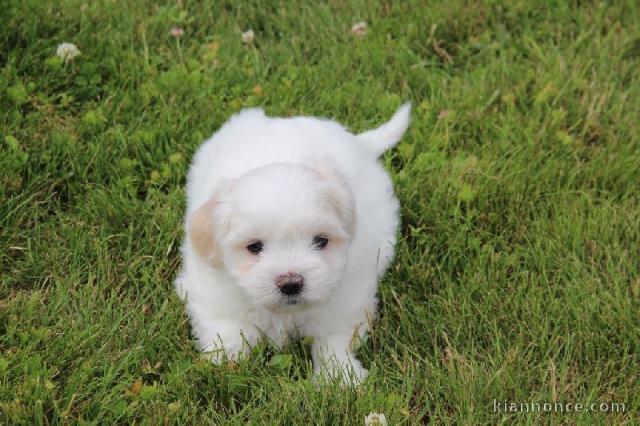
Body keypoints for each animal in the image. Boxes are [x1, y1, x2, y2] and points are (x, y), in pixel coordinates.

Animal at [176, 102, 410, 382]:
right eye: (254, 247)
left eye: (321, 241)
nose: (291, 283)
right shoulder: (211, 289)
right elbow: (227, 326)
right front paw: (225, 362)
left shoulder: (346, 299)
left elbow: (332, 337)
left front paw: (339, 376)